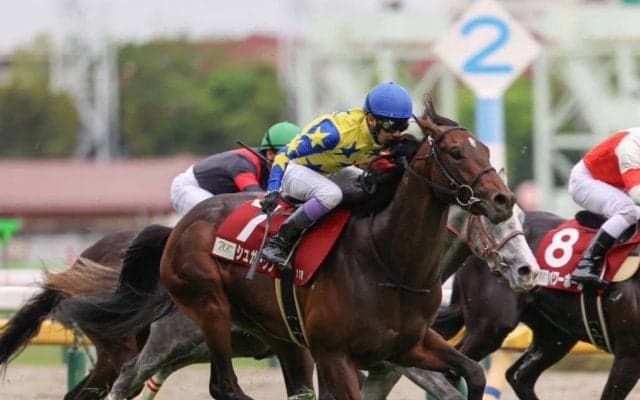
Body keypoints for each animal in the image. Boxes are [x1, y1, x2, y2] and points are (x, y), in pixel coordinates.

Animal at [104, 202, 538, 400]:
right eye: (494, 217)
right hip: (175, 338)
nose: (526, 270)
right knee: (127, 377)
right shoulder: (369, 358)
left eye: (519, 215)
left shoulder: (385, 365)